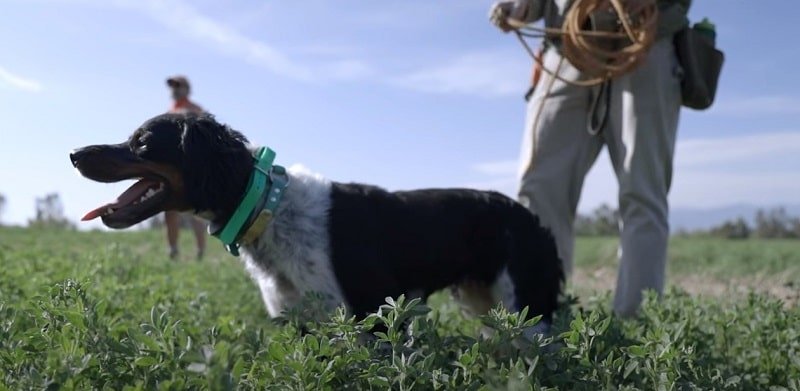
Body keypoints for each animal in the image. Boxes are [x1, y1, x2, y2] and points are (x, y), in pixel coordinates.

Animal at [73, 113, 564, 330]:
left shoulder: (371, 317)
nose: (74, 153)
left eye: (141, 142)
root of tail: (530, 216)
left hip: (528, 310)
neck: (267, 207)